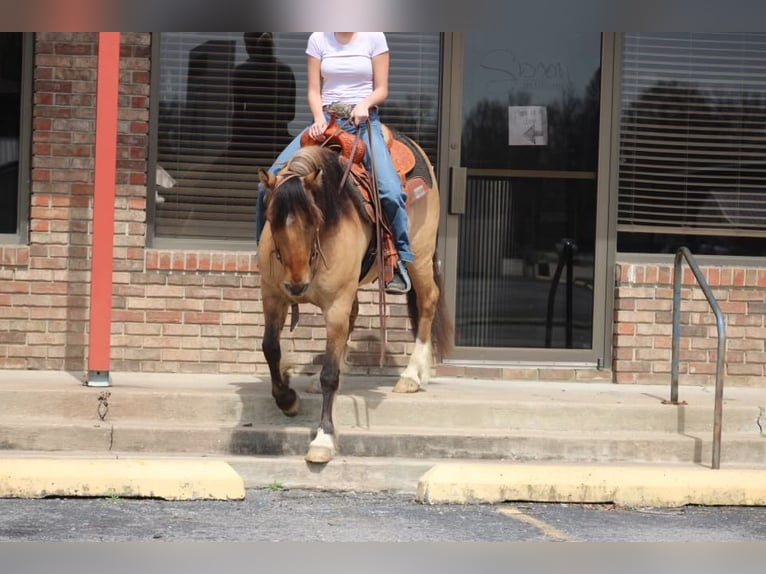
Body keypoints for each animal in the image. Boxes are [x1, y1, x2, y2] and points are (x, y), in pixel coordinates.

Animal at [258, 119, 452, 466]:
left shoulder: (335, 303)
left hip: (420, 256)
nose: (297, 286)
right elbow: (270, 348)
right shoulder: (273, 296)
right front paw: (288, 399)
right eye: (270, 218)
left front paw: (323, 439)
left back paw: (412, 376)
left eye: (315, 218)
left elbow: (329, 375)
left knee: (427, 301)